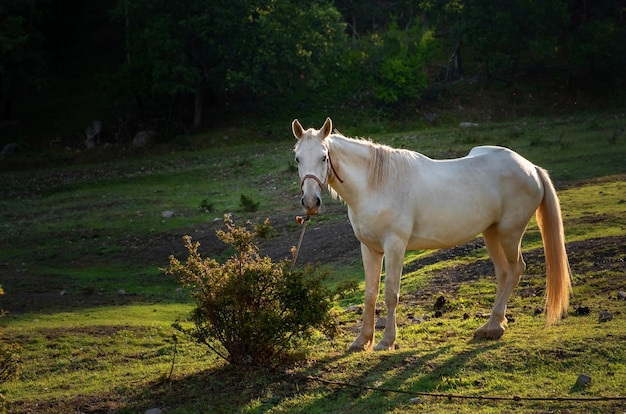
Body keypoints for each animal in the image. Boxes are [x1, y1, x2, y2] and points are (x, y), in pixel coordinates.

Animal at [290, 117, 568, 352]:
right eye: (297, 159)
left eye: (324, 157)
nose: (311, 202)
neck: (375, 185)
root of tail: (531, 168)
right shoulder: (369, 248)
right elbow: (370, 294)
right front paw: (361, 341)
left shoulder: (395, 246)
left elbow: (391, 294)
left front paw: (386, 341)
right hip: (491, 233)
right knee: (504, 272)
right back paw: (492, 327)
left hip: (510, 233)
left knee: (516, 269)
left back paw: (494, 325)